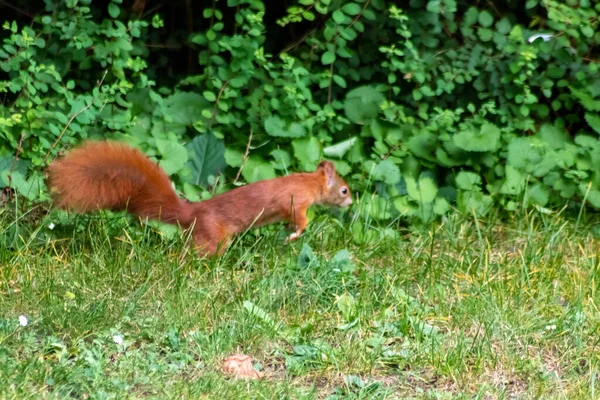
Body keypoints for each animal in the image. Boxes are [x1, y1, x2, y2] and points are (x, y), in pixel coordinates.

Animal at [49, 141, 354, 256]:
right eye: (344, 190)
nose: (351, 203)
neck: (309, 182)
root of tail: (191, 214)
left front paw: (288, 233)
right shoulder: (296, 201)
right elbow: (301, 220)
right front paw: (295, 233)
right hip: (214, 237)